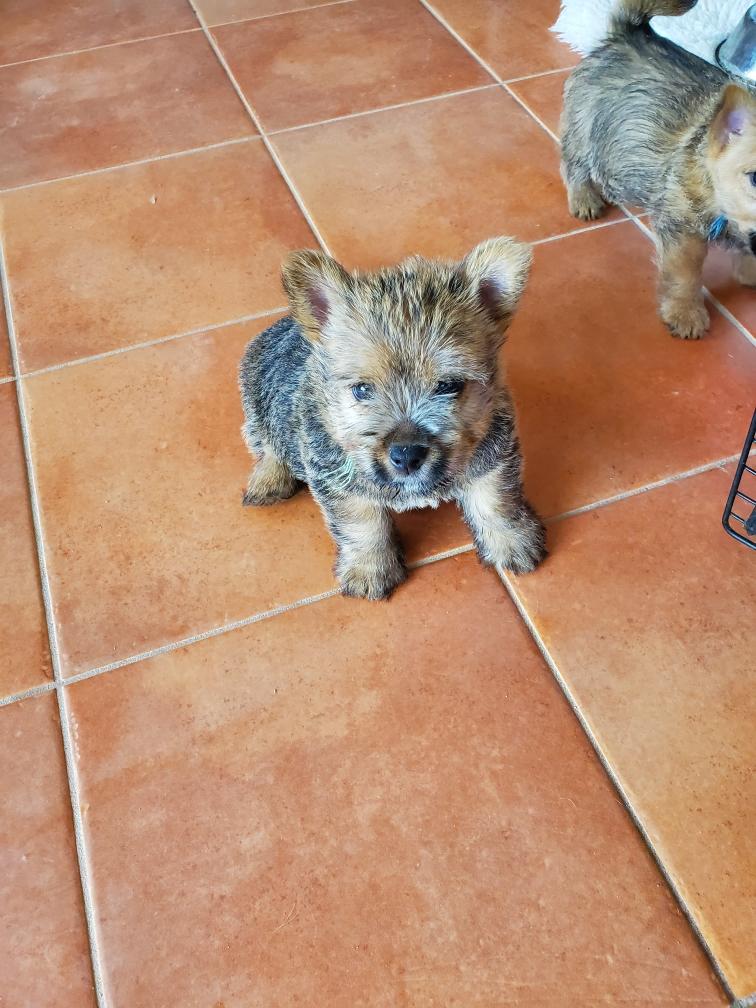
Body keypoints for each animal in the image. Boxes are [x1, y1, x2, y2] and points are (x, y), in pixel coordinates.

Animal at [239, 239, 546, 600]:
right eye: (361, 389)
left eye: (449, 385)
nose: (407, 455)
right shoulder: (339, 481)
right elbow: (362, 525)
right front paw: (369, 570)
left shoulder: (493, 453)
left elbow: (497, 500)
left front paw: (512, 542)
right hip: (253, 400)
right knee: (268, 445)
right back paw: (268, 481)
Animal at [560, 0, 756, 339]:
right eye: (755, 178)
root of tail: (628, 34)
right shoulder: (682, 231)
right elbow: (684, 275)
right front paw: (685, 314)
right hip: (583, 129)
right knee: (573, 165)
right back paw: (584, 198)